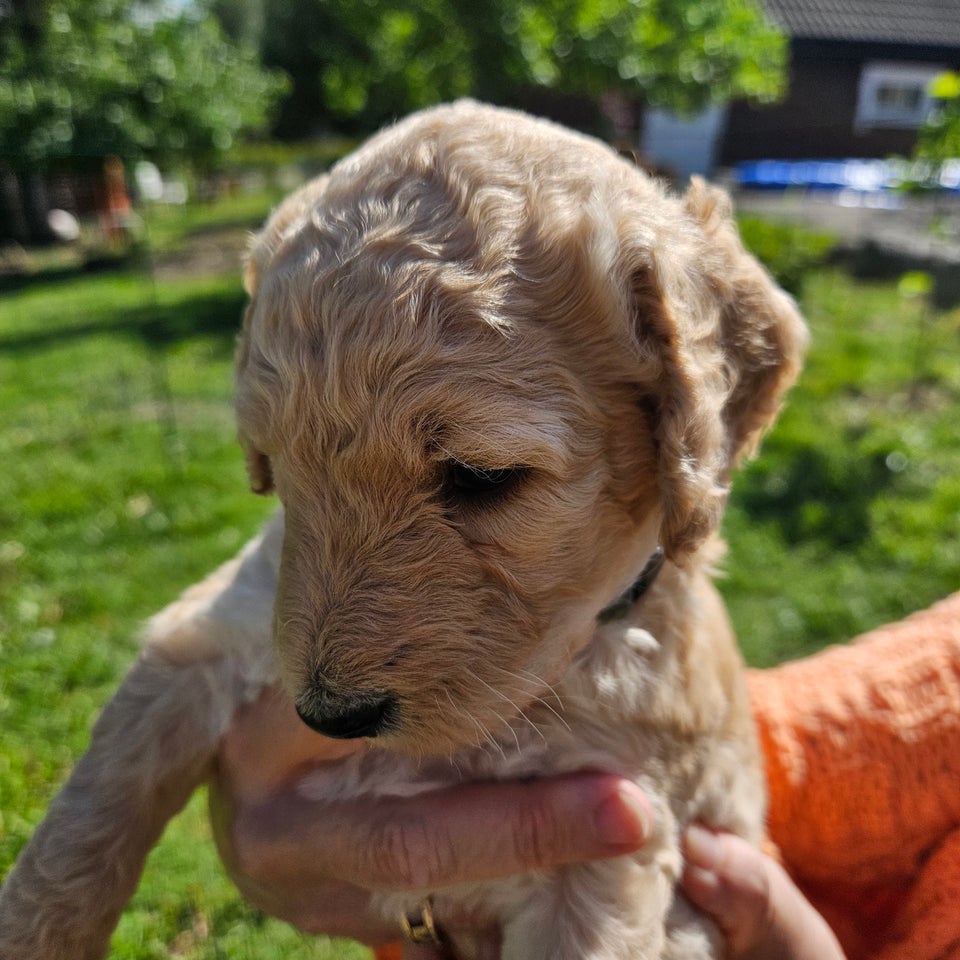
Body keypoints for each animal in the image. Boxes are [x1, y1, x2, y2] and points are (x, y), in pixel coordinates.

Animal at [0, 101, 808, 956]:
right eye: (277, 465)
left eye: (481, 477)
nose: (331, 717)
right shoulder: (208, 634)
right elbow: (88, 820)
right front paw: (31, 932)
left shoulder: (610, 849)